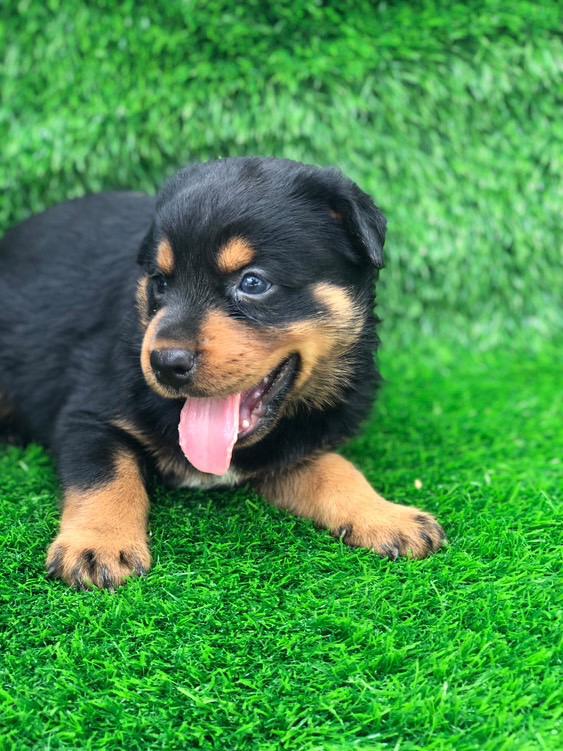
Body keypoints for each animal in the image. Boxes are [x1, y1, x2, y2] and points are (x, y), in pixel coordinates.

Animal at [0, 159, 446, 592]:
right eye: (159, 282)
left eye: (253, 282)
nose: (165, 363)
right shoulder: (88, 413)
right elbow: (106, 474)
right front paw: (97, 546)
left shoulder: (292, 449)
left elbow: (336, 469)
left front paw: (388, 516)